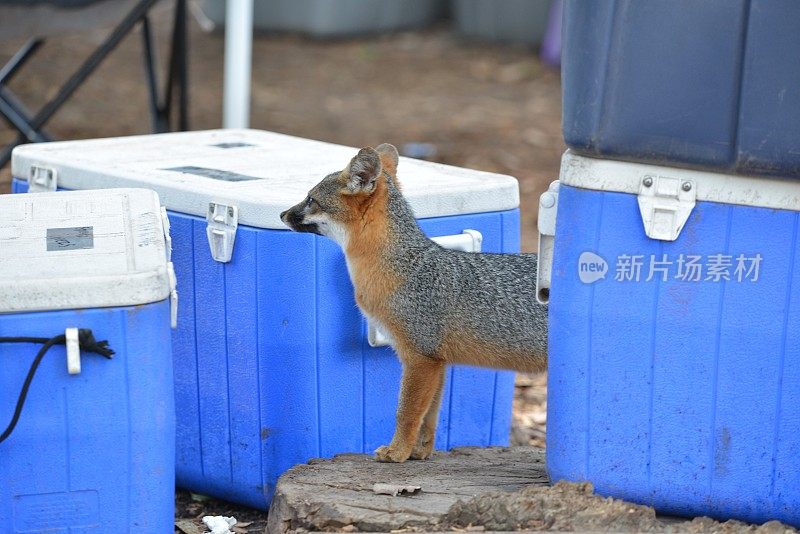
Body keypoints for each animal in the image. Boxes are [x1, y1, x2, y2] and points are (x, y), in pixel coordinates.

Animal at [278, 143, 548, 464]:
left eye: (311, 199)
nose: (281, 214)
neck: (403, 266)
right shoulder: (438, 361)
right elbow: (428, 417)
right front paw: (418, 452)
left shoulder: (420, 357)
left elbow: (406, 413)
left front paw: (396, 452)